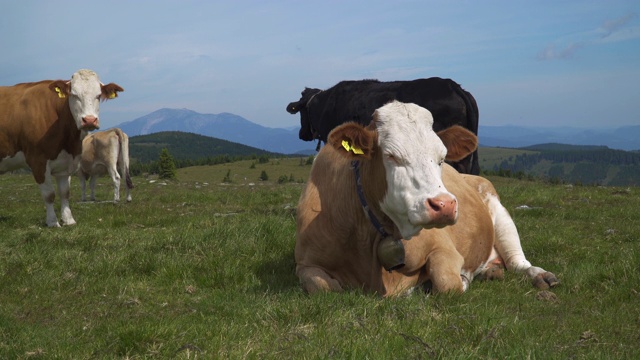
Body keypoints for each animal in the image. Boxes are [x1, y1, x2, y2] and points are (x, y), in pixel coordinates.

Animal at [292, 100, 556, 296]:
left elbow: (447, 283)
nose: (445, 205)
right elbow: (324, 287)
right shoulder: (305, 263)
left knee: (517, 261)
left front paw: (459, 280)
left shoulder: (444, 248)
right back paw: (492, 272)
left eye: (442, 157)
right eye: (392, 156)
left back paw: (540, 275)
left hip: (498, 211)